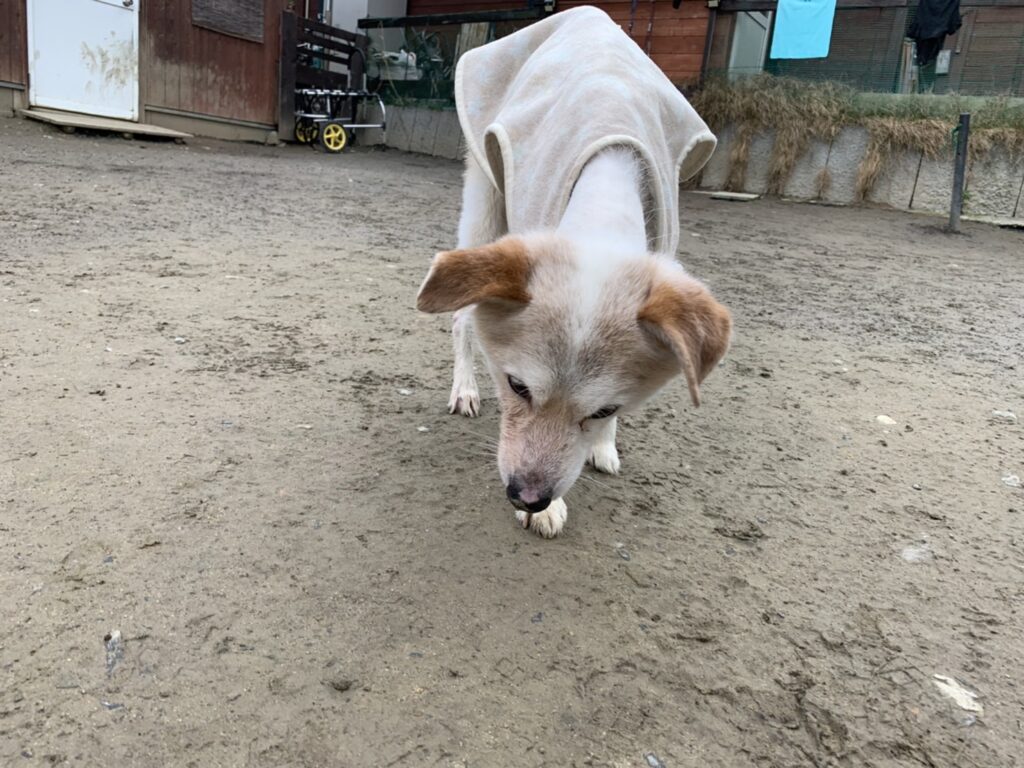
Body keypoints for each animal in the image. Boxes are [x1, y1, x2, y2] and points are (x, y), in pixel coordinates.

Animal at [416, 7, 732, 537]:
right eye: (516, 386)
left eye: (605, 408)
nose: (528, 497)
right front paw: (547, 513)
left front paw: (602, 444)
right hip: (484, 196)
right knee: (462, 316)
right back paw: (464, 389)